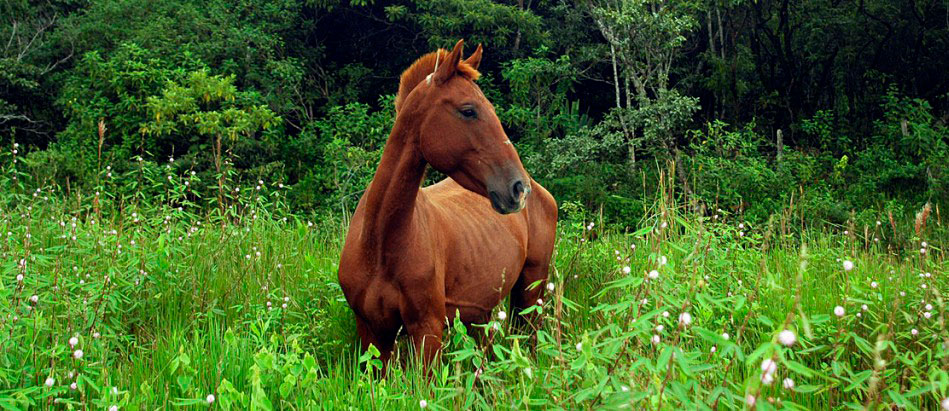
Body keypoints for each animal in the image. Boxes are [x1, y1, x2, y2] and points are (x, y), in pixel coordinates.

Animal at [336, 40, 556, 368]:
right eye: (468, 110)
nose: (519, 189)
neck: (379, 245)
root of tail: (542, 193)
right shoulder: (372, 332)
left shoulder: (427, 329)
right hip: (480, 315)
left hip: (531, 291)